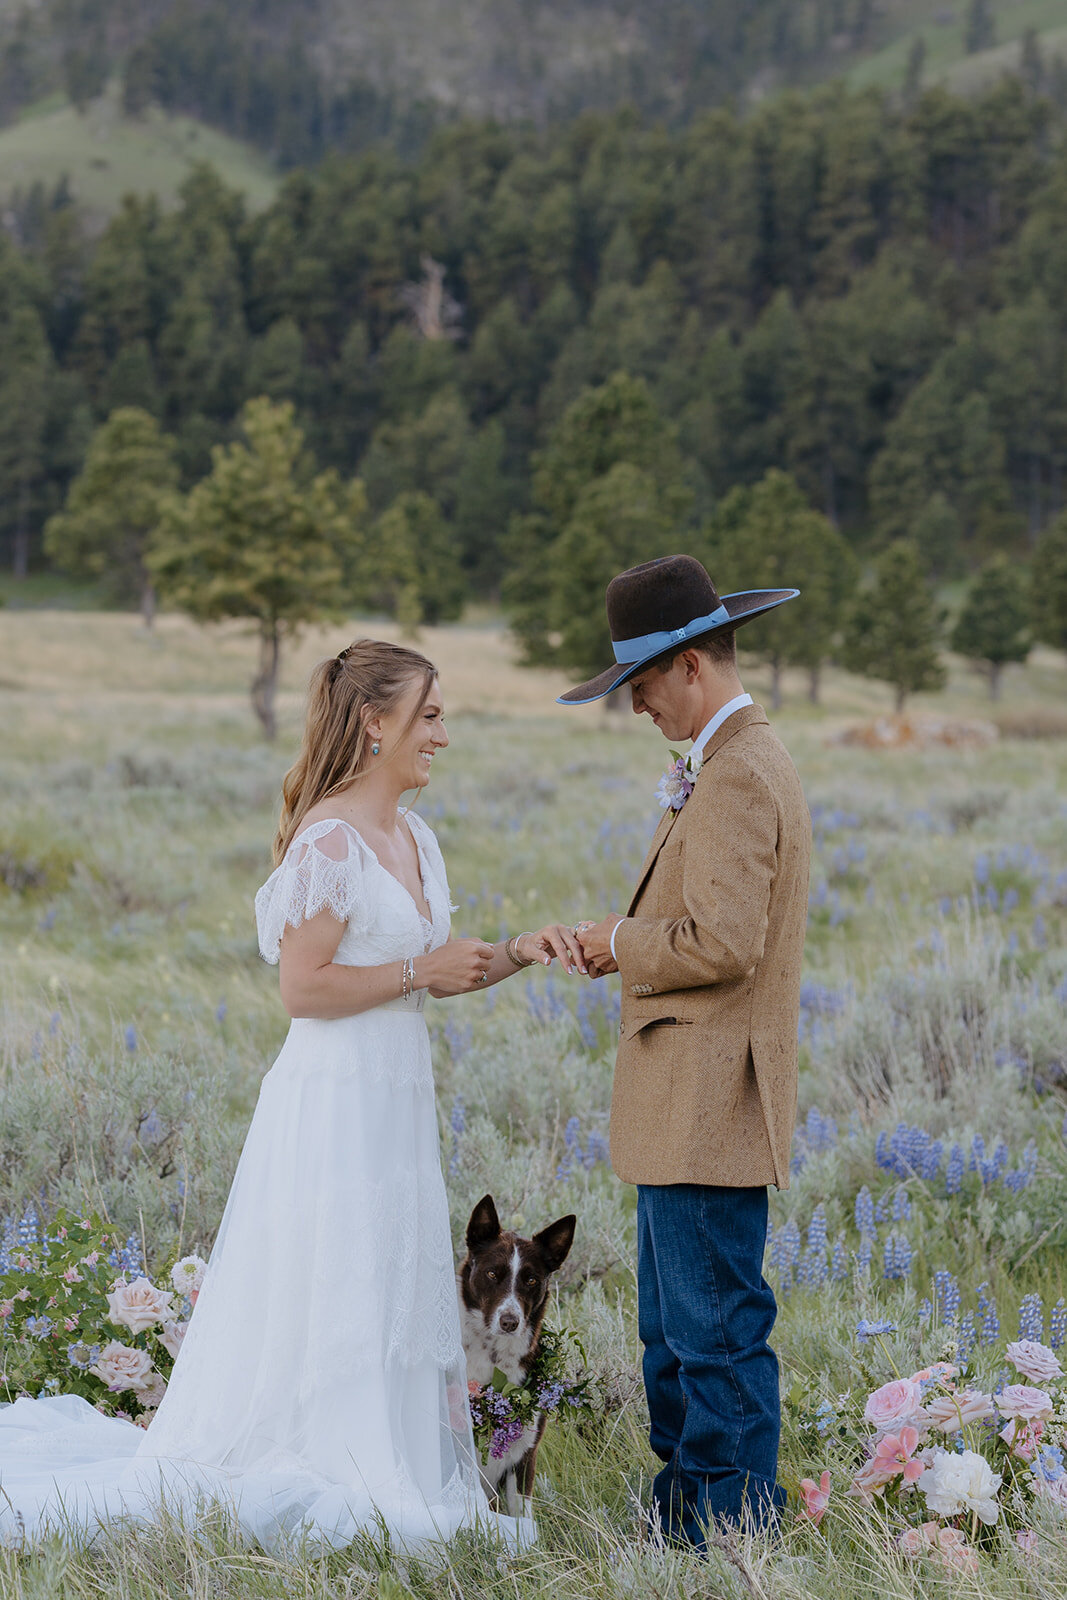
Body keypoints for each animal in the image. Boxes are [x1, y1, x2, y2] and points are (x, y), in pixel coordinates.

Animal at [457, 1203, 575, 1510]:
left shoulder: (524, 1456)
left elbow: (522, 1516)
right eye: (492, 1274)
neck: (494, 1356)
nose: (510, 1322)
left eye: (531, 1279)